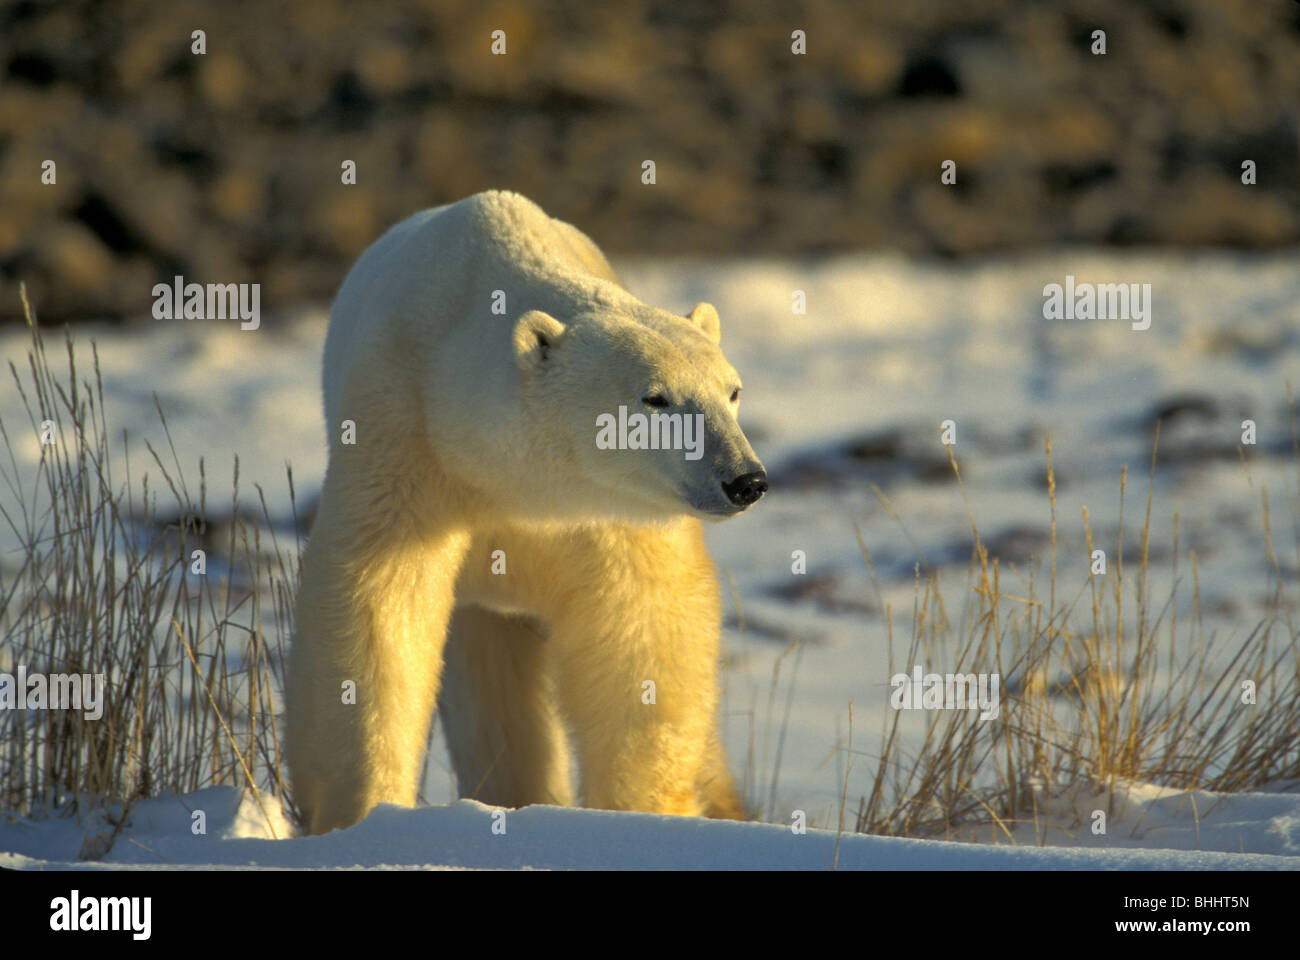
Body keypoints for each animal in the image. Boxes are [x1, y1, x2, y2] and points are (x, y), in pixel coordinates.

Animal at [287, 187, 759, 832]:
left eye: (732, 391)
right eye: (655, 398)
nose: (745, 480)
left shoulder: (609, 513)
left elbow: (643, 630)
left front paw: (642, 811)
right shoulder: (403, 439)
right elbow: (379, 606)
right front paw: (359, 809)